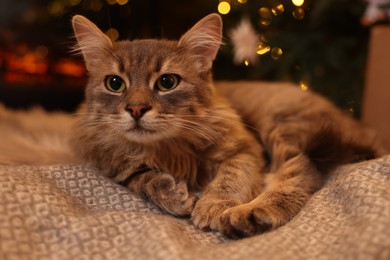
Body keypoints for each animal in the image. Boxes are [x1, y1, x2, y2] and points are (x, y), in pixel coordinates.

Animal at [71, 13, 382, 238]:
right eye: (115, 84)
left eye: (167, 82)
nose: (136, 109)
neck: (168, 147)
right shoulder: (117, 168)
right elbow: (144, 179)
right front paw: (173, 195)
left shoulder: (245, 150)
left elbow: (229, 180)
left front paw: (212, 206)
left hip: (283, 126)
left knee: (300, 175)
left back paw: (251, 215)